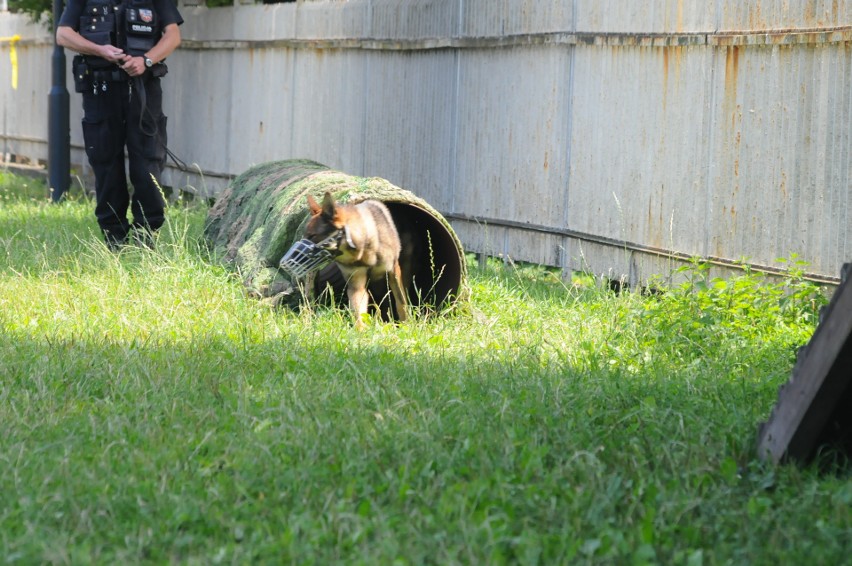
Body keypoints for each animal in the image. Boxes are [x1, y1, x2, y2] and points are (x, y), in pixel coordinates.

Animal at [306, 193, 410, 330]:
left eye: (312, 236)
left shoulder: (393, 271)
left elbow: (401, 302)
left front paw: (407, 324)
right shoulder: (356, 284)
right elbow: (358, 310)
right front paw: (360, 331)